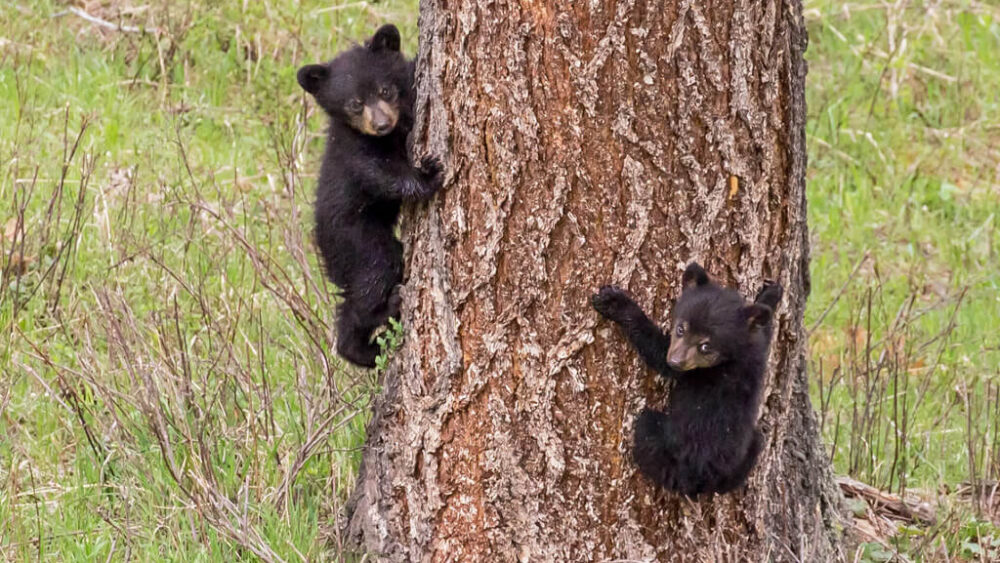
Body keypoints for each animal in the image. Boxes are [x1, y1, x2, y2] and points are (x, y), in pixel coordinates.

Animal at [297, 24, 443, 368]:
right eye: (355, 103)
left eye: (385, 91)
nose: (381, 124)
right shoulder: (353, 150)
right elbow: (382, 174)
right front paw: (428, 175)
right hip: (357, 239)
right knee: (375, 274)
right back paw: (384, 313)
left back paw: (363, 351)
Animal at [591, 262, 783, 496]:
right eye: (681, 328)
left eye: (706, 346)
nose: (676, 361)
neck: (733, 356)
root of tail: (697, 481)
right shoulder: (756, 352)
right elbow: (765, 331)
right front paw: (771, 294)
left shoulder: (694, 369)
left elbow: (656, 351)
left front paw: (615, 302)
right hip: (745, 455)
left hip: (661, 443)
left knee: (646, 430)